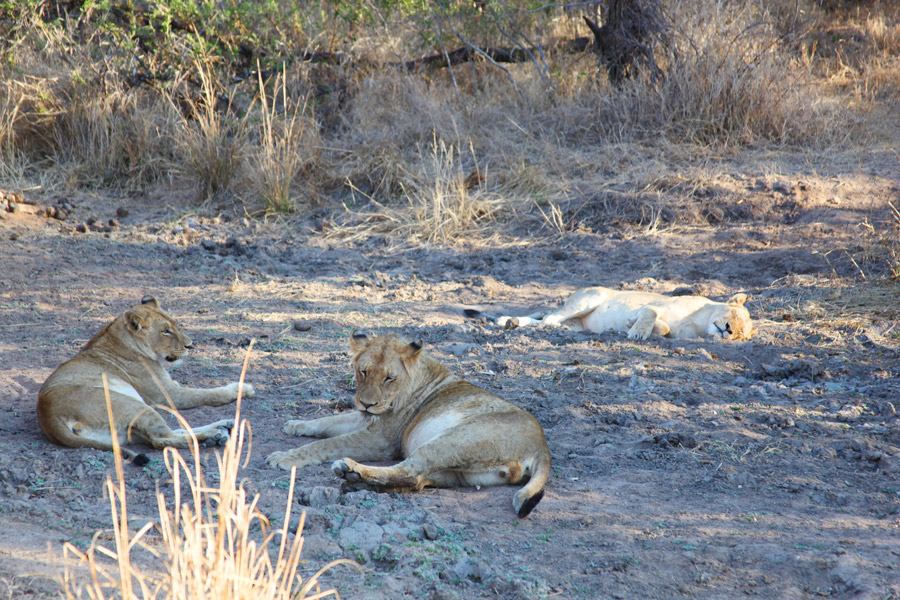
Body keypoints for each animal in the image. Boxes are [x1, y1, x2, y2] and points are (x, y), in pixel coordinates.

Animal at [35, 298, 253, 462]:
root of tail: (49, 417)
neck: (118, 336)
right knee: (161, 439)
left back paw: (222, 428)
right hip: (133, 405)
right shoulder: (168, 394)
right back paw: (212, 437)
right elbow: (208, 393)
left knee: (168, 432)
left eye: (175, 325)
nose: (190, 345)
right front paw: (242, 389)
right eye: (166, 331)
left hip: (127, 430)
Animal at [264, 330, 552, 516]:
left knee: (410, 471)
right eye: (363, 371)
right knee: (418, 481)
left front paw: (284, 457)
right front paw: (295, 425)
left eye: (389, 377)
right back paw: (356, 481)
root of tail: (542, 446)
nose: (367, 403)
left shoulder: (382, 440)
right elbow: (329, 420)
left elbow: (328, 444)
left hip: (456, 439)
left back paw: (350, 470)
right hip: (457, 471)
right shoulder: (367, 419)